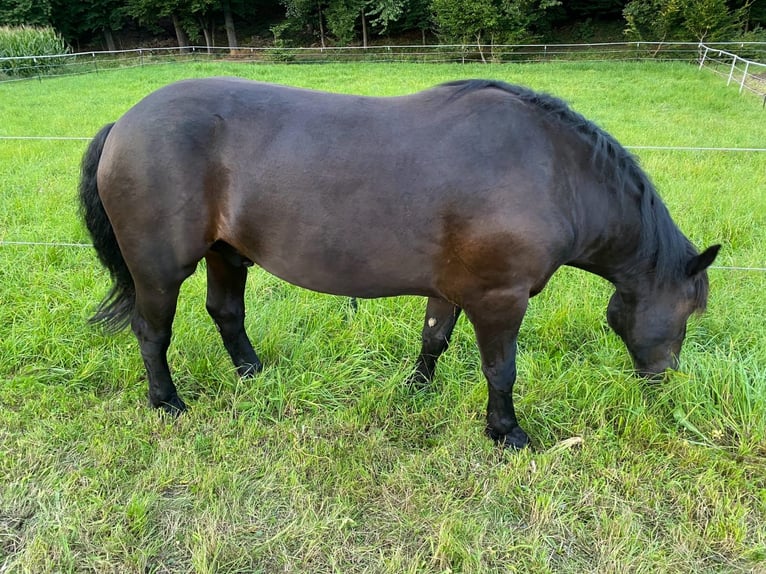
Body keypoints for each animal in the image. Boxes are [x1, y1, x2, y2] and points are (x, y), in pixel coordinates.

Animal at [79, 78, 719, 449]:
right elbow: (501, 370)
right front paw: (507, 433)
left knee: (225, 312)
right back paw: (167, 403)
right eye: (689, 312)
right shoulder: (500, 299)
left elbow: (433, 338)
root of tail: (125, 123)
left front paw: (416, 390)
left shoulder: (453, 290)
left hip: (227, 254)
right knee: (151, 330)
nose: (665, 381)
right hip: (161, 270)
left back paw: (253, 374)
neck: (551, 172)